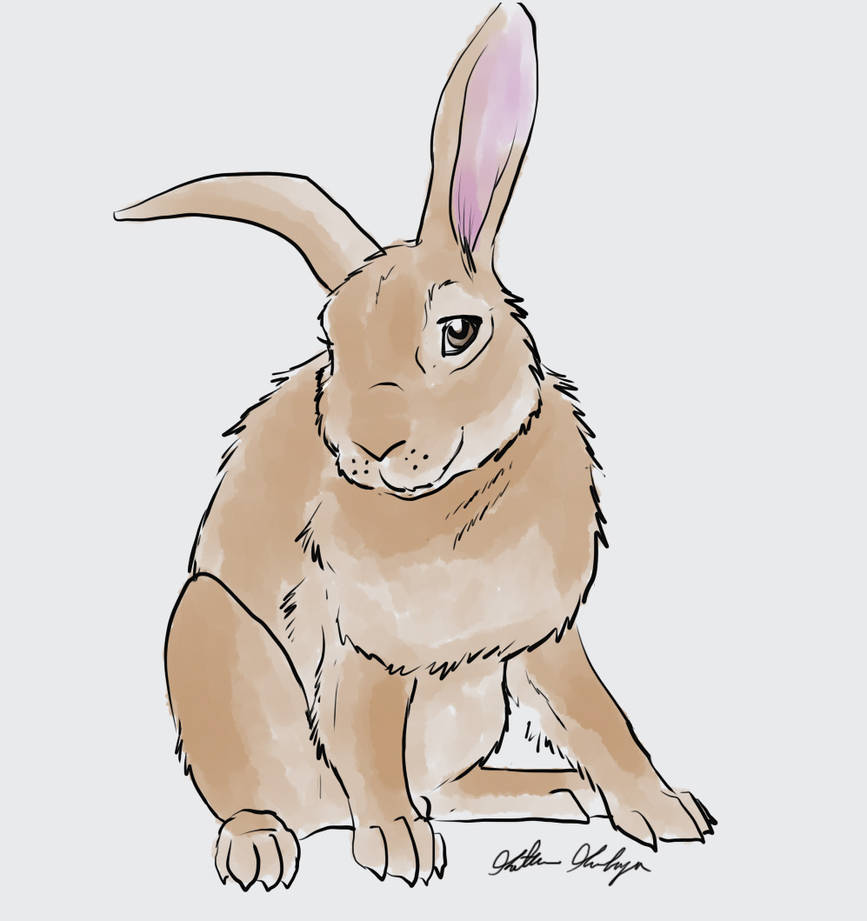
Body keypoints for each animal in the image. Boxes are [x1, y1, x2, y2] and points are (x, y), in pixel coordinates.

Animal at [116, 2, 715, 892]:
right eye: (330, 339)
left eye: (458, 332)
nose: (370, 443)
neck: (457, 500)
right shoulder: (363, 652)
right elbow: (367, 744)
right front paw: (398, 850)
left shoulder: (544, 641)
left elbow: (600, 717)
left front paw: (670, 814)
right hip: (211, 637)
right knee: (279, 794)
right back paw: (264, 849)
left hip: (472, 701)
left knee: (451, 787)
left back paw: (559, 792)